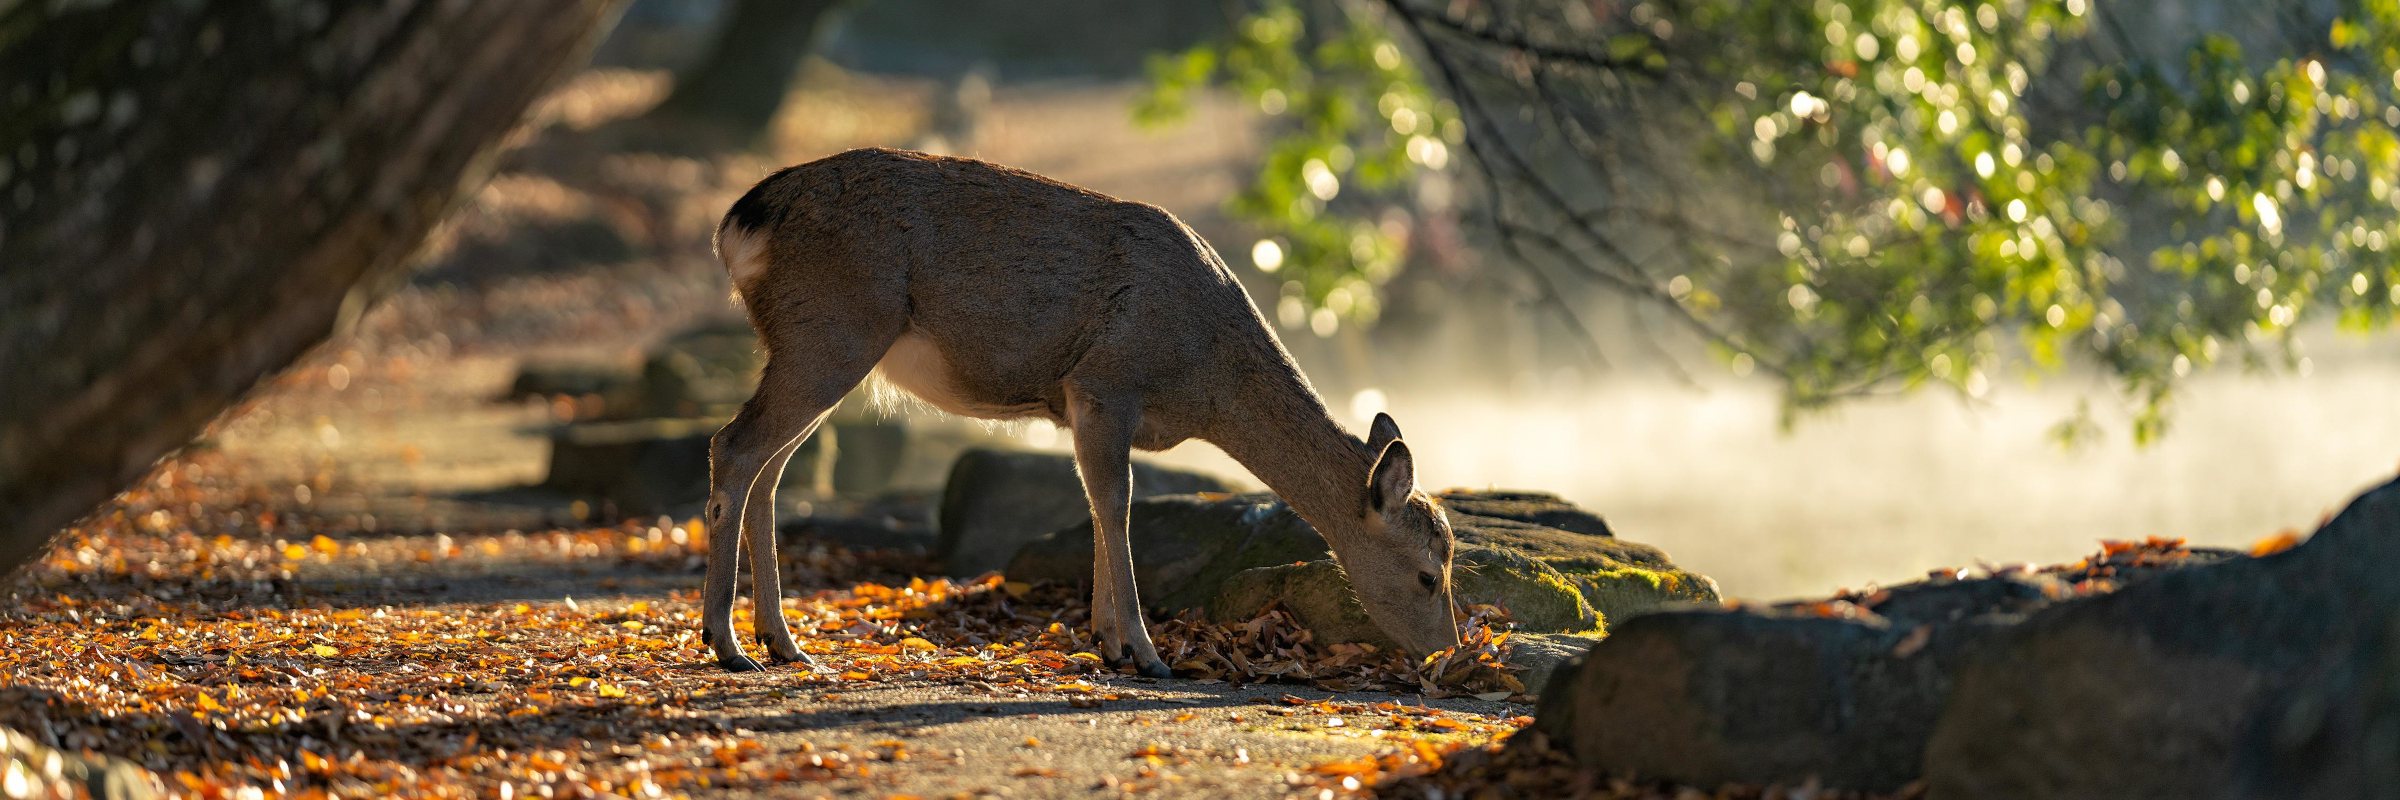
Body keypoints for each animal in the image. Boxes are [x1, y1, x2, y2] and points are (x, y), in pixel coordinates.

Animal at [700, 148, 1459, 676]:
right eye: (1429, 574)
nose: (1449, 650)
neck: (1202, 380)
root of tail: (740, 222)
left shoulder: (1075, 404)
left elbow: (1095, 504)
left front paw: (1107, 642)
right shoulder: (1105, 382)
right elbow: (1117, 504)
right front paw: (1147, 654)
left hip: (813, 345)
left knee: (769, 467)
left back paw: (783, 642)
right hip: (832, 330)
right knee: (733, 446)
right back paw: (728, 643)